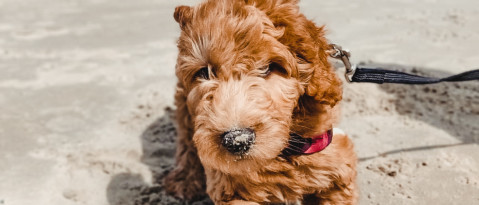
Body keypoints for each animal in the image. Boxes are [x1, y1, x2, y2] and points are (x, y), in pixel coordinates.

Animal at [165, 0, 356, 203]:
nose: (237, 140)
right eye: (204, 72)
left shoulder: (337, 170)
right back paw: (184, 180)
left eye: (268, 68)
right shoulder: (229, 187)